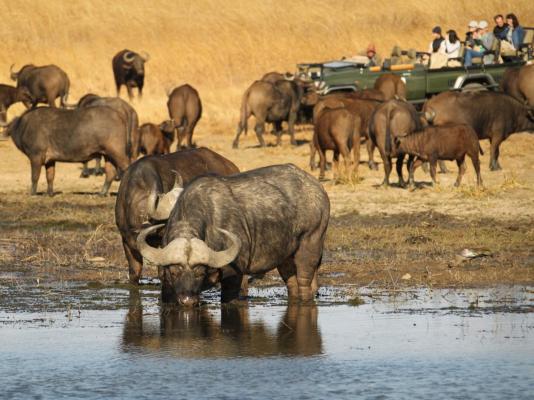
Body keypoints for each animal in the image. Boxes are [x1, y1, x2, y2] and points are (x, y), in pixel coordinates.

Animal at [136, 163, 330, 306]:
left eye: (200, 273)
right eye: (174, 272)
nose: (187, 300)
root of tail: (319, 190)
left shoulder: (233, 275)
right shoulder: (167, 286)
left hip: (310, 243)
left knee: (305, 282)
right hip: (285, 257)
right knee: (292, 284)